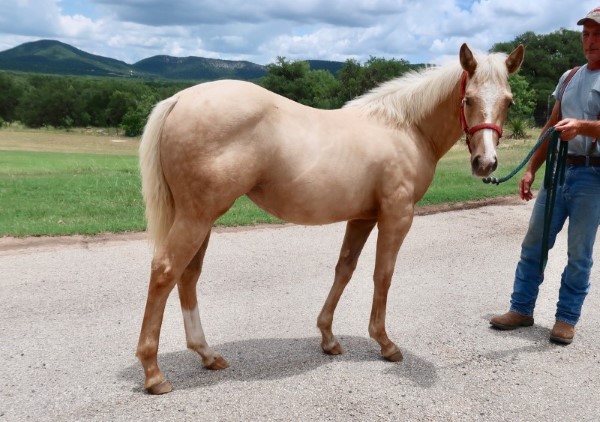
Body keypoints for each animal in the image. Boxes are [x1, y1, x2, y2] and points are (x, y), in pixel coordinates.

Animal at [138, 42, 524, 392]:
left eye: (508, 101)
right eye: (468, 99)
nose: (485, 163)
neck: (406, 127)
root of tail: (179, 100)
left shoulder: (363, 217)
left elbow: (345, 270)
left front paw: (328, 338)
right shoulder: (397, 216)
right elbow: (383, 275)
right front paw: (385, 343)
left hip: (200, 218)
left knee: (188, 277)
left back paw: (206, 354)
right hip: (198, 216)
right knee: (166, 272)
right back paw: (154, 373)